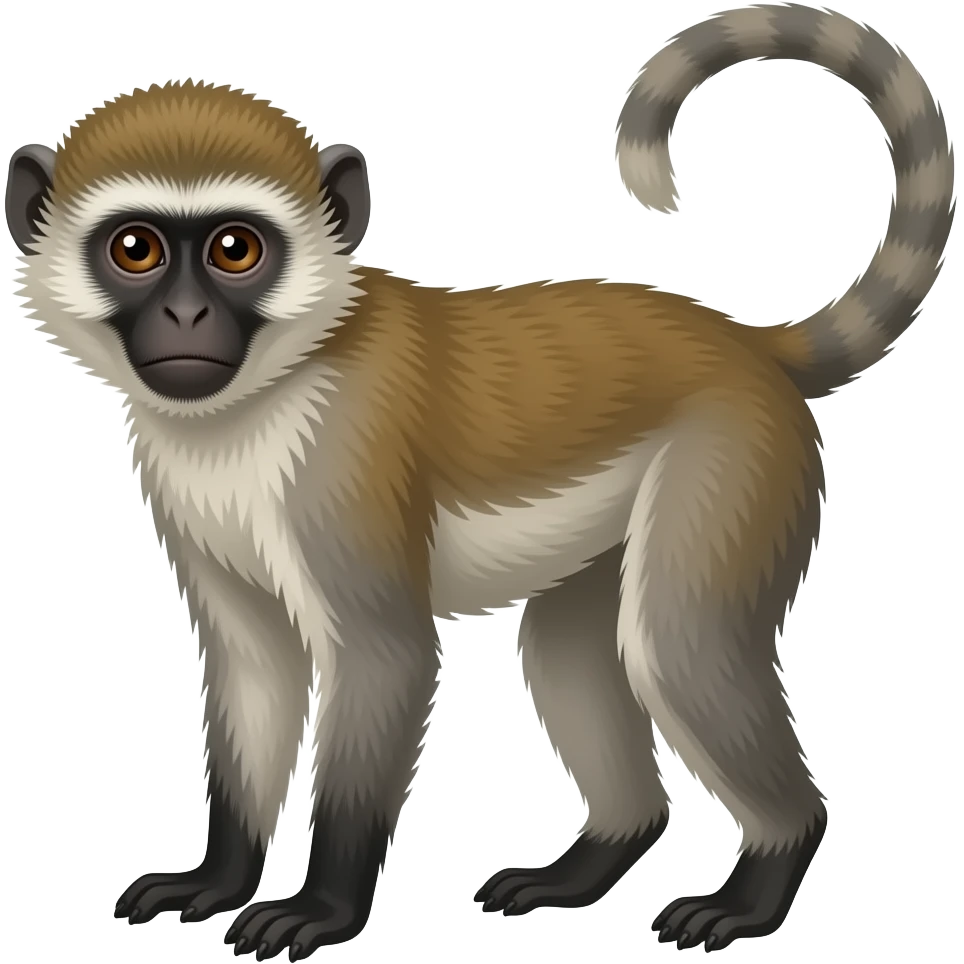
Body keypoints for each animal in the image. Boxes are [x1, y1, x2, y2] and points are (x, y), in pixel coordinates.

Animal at [4, 4, 955, 959]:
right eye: (136, 249)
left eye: (235, 250)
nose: (186, 315)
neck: (266, 393)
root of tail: (748, 346)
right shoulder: (178, 482)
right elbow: (254, 660)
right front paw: (217, 878)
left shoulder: (344, 458)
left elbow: (384, 654)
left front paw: (323, 906)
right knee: (569, 645)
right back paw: (597, 858)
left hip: (735, 457)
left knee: (677, 643)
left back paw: (766, 873)